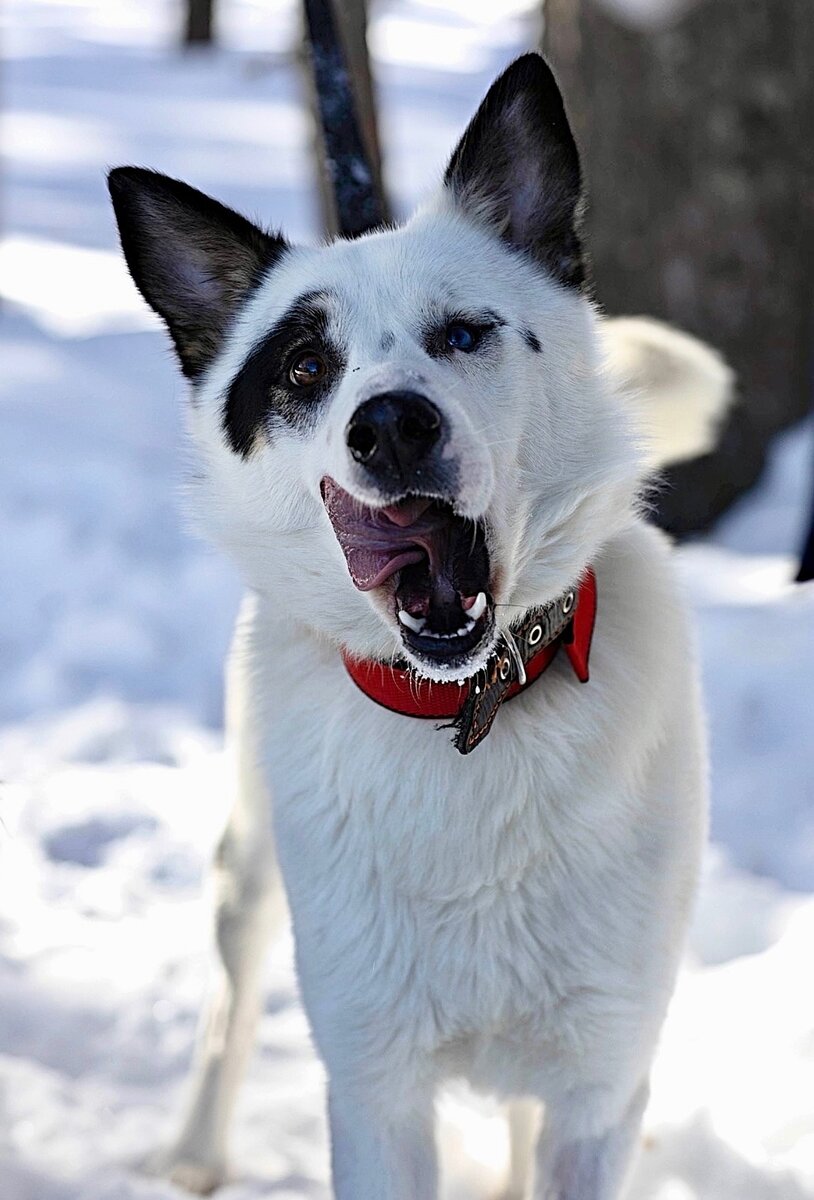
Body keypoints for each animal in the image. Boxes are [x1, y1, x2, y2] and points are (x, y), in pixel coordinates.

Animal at [108, 56, 725, 1200]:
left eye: (464, 334)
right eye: (306, 368)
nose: (391, 424)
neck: (464, 710)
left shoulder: (599, 1090)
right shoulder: (374, 1092)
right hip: (248, 870)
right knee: (228, 1003)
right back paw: (193, 1155)